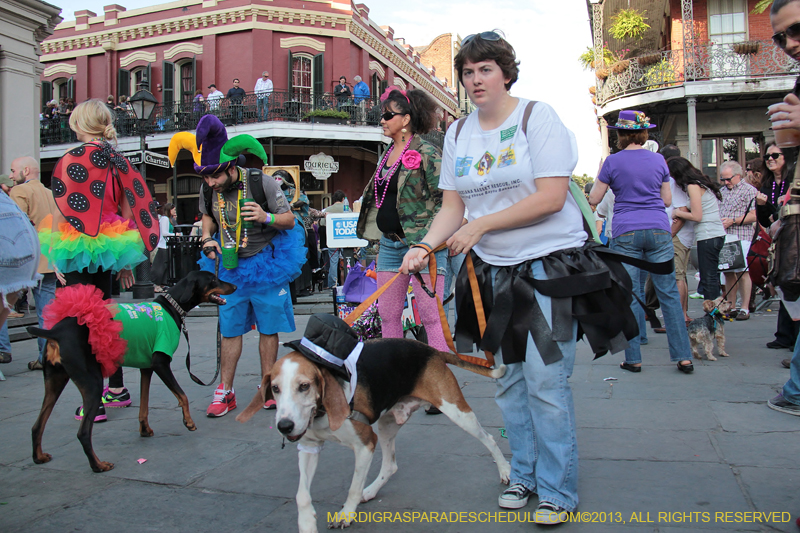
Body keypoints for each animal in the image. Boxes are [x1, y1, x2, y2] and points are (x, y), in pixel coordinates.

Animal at [25, 272, 238, 472]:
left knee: (37, 425)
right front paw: (189, 421)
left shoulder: (147, 368)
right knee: (83, 432)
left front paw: (145, 429)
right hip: (92, 383)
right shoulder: (161, 363)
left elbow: (144, 403)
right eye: (213, 279)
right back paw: (98, 465)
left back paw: (39, 457)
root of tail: (55, 333)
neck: (171, 306)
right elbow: (182, 395)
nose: (235, 286)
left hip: (55, 380)